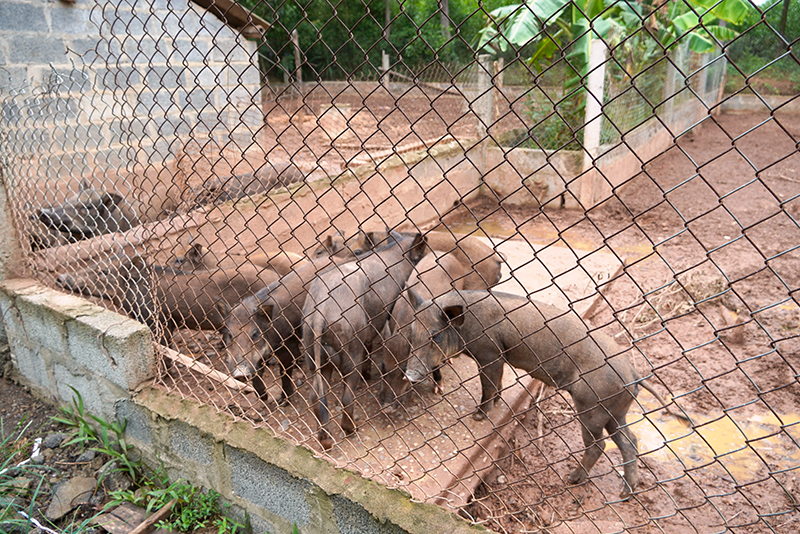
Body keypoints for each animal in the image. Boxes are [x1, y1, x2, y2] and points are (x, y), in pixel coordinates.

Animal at [404, 292, 692, 500]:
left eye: (435, 335)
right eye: (411, 333)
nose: (409, 375)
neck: (465, 328)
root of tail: (634, 374)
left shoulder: (490, 353)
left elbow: (488, 384)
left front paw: (477, 416)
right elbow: (496, 384)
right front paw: (494, 404)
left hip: (592, 407)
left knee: (599, 445)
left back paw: (572, 480)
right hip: (615, 412)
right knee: (629, 441)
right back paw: (625, 493)